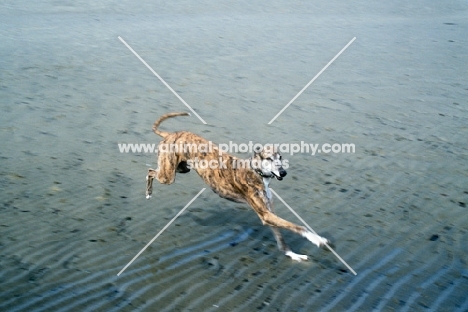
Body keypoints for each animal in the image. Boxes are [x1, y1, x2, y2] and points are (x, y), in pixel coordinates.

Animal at [146, 112, 330, 260]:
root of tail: (171, 134)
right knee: (150, 172)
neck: (257, 172)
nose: (283, 173)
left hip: (182, 168)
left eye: (280, 157)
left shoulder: (269, 213)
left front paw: (293, 254)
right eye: (269, 158)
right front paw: (319, 240)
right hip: (168, 175)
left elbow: (281, 239)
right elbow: (299, 226)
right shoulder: (265, 214)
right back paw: (148, 192)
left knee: (154, 170)